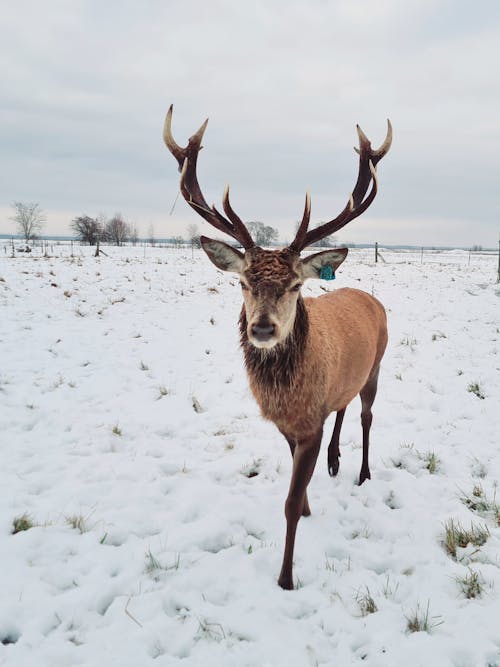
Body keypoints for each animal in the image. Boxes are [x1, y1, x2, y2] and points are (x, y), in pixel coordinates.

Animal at [163, 105, 390, 588]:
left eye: (294, 286)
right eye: (244, 282)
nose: (262, 328)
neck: (287, 399)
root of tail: (367, 295)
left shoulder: (309, 424)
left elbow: (286, 502)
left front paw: (286, 577)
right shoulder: (291, 424)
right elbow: (295, 483)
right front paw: (308, 505)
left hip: (378, 365)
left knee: (366, 415)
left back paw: (362, 472)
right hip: (346, 380)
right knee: (343, 407)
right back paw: (336, 461)